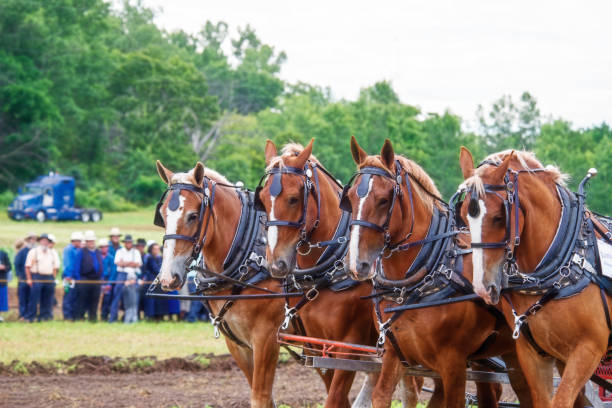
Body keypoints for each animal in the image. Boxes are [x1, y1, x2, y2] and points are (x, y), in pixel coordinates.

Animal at [256, 139, 424, 406]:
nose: (276, 263)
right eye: (261, 198)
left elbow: (335, 398)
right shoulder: (318, 346)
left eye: (293, 199)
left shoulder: (349, 346)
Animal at [344, 138, 532, 408]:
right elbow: (381, 395)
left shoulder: (452, 363)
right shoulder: (394, 354)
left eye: (383, 199)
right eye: (349, 197)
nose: (357, 264)